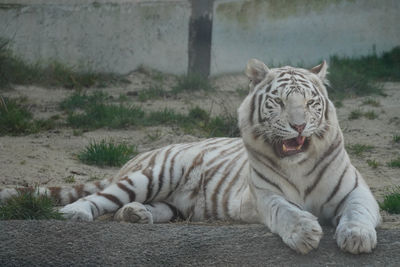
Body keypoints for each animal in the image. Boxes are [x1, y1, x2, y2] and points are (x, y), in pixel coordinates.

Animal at [0, 59, 382, 255]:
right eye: (279, 101)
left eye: (311, 102)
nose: (299, 125)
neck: (298, 163)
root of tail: (137, 159)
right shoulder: (266, 196)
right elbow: (286, 211)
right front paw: (304, 233)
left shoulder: (356, 191)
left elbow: (359, 212)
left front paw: (357, 238)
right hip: (153, 175)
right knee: (100, 199)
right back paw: (72, 214)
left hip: (172, 203)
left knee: (136, 209)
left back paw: (136, 215)